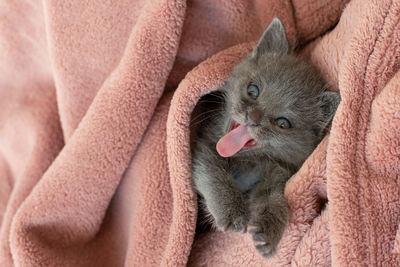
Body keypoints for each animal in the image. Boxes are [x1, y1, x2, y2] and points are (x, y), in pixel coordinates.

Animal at [191, 17, 340, 258]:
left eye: (283, 123)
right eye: (253, 90)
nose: (253, 118)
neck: (249, 162)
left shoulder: (278, 172)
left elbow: (274, 197)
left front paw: (268, 232)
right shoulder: (205, 145)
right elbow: (214, 175)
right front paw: (232, 212)